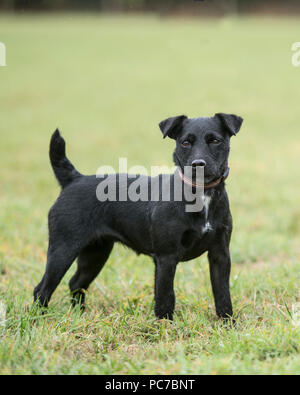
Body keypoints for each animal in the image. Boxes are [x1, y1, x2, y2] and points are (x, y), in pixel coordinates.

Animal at [34, 113, 243, 320]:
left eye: (215, 140)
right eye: (185, 143)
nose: (198, 164)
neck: (201, 196)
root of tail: (74, 179)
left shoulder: (220, 255)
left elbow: (223, 295)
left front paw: (227, 324)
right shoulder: (166, 257)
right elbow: (166, 297)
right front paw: (165, 326)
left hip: (95, 253)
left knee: (76, 283)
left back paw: (80, 316)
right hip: (63, 249)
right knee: (42, 289)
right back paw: (38, 319)